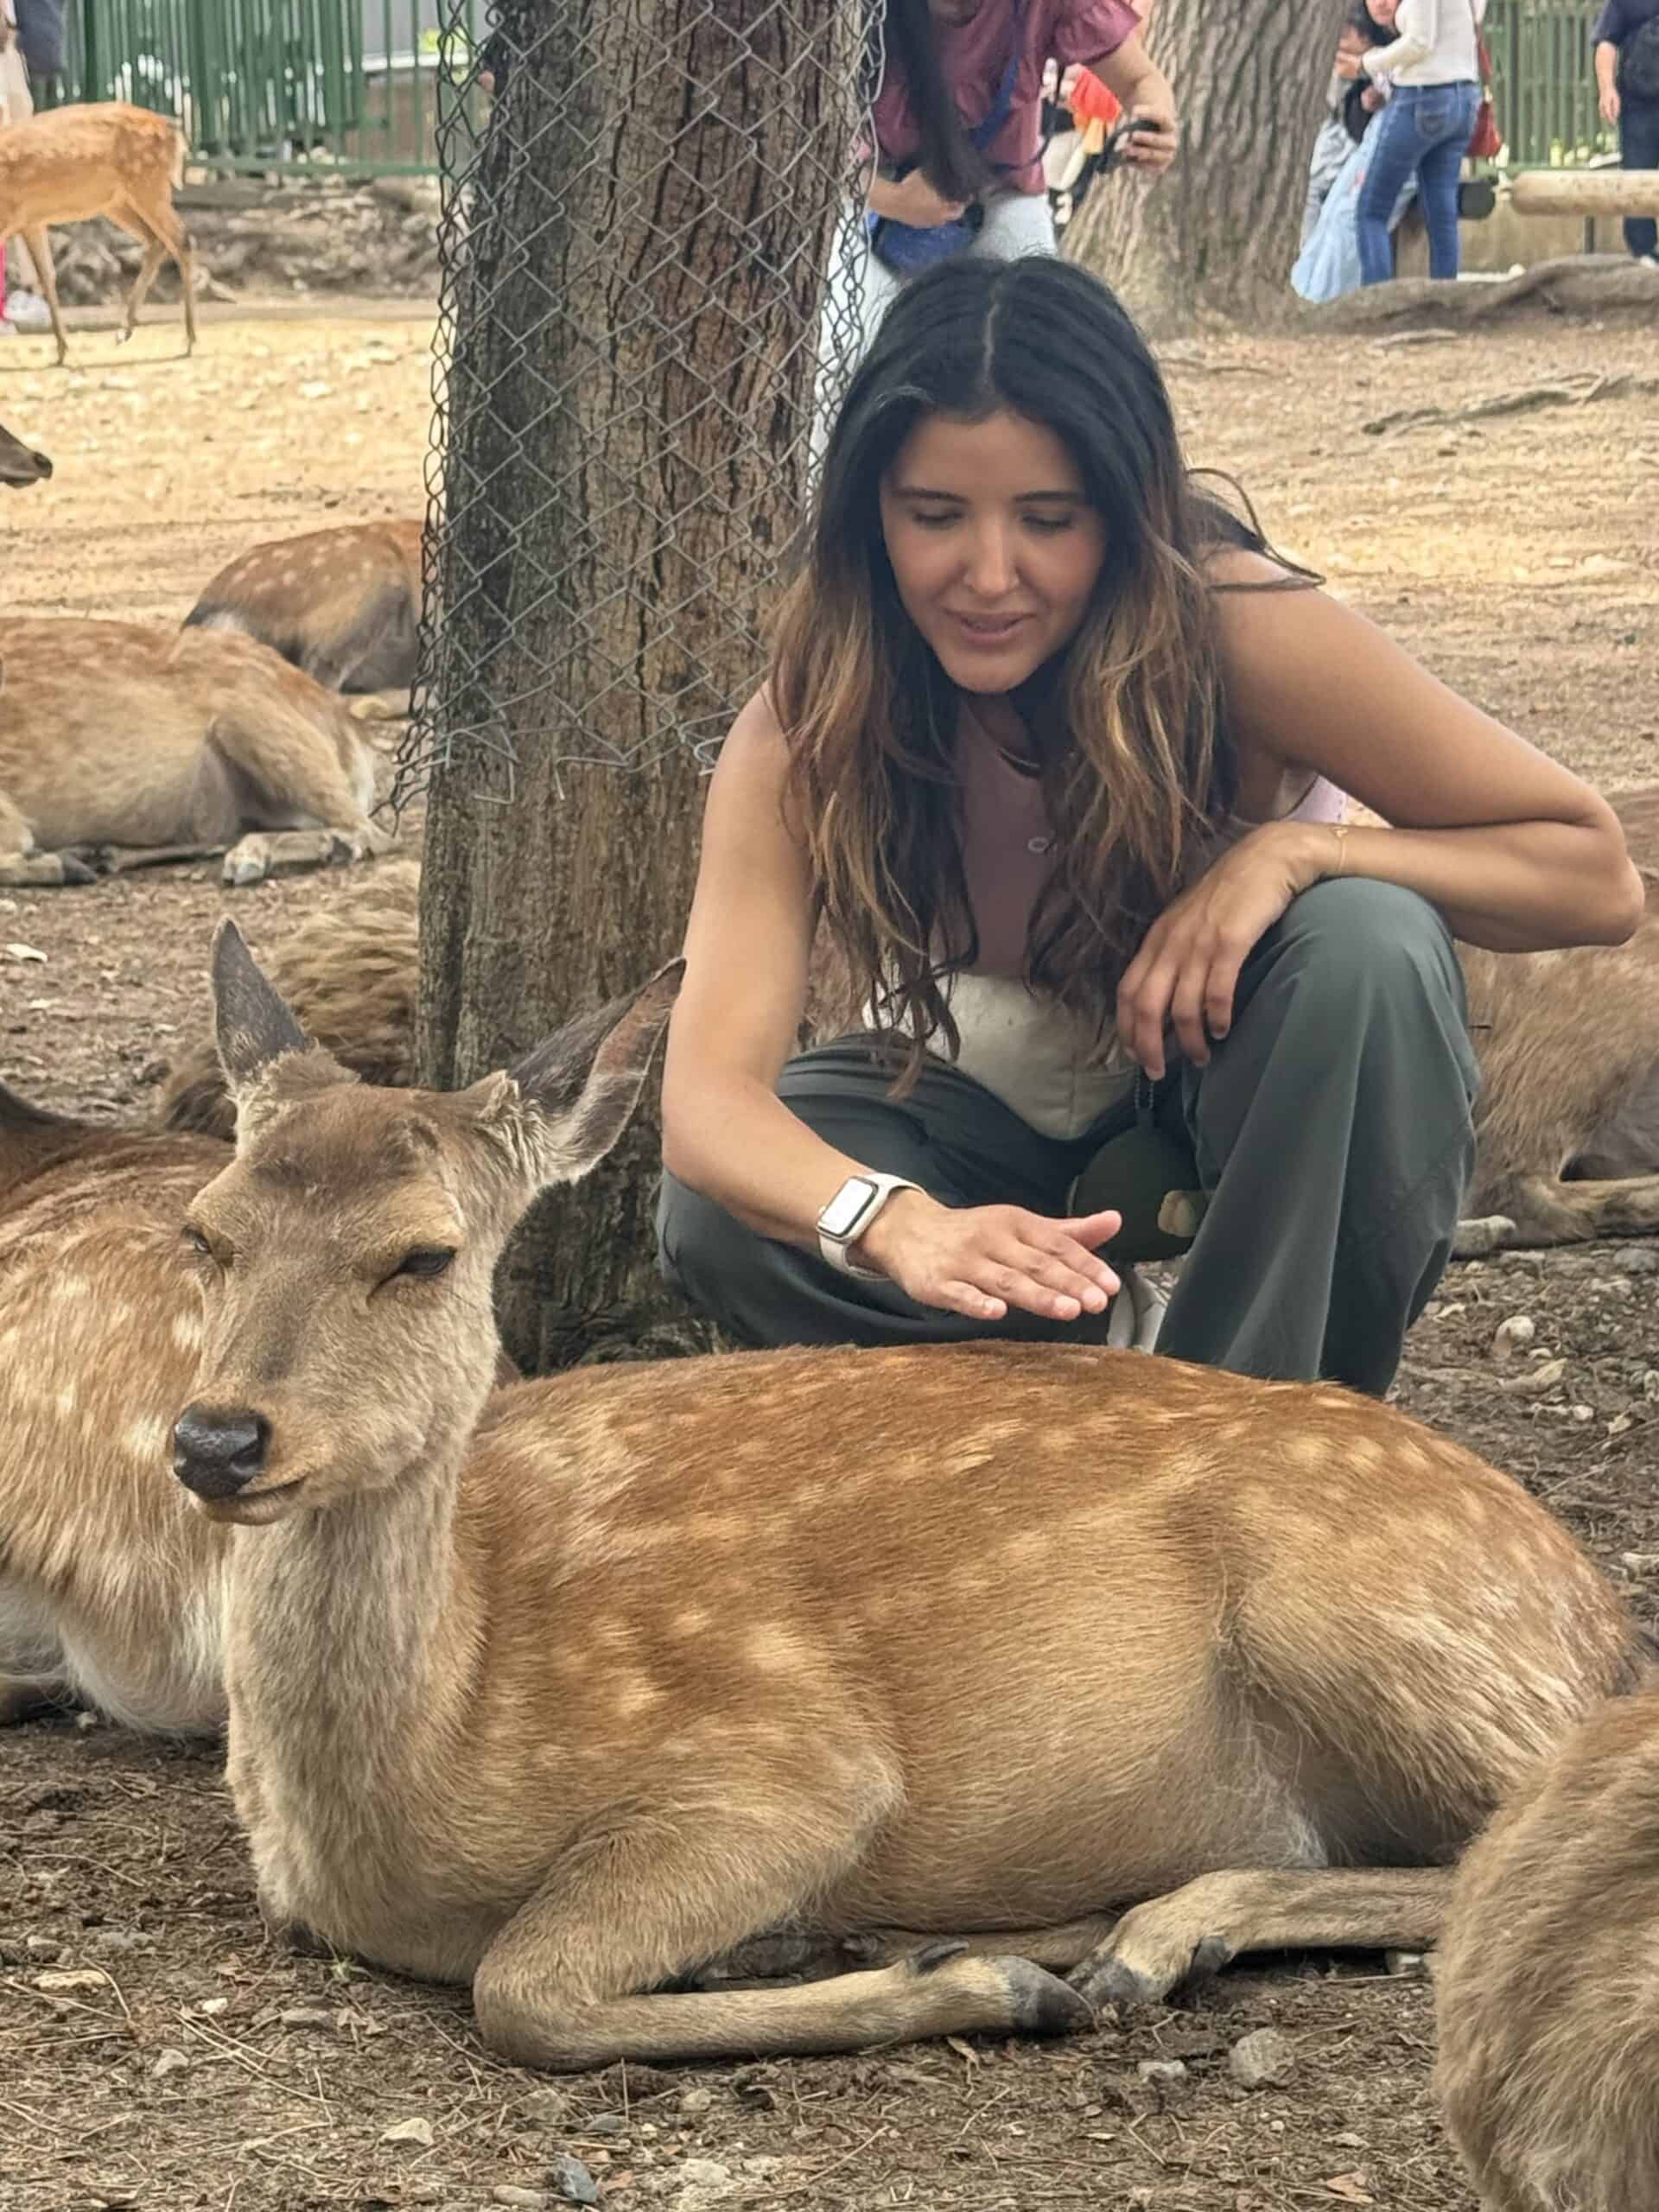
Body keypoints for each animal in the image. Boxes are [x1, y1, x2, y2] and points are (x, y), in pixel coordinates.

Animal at [0, 102, 195, 367]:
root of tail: (173, 131)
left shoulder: (12, 218)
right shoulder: (31, 221)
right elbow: (47, 274)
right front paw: (62, 348)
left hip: (147, 185)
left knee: (181, 239)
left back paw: (188, 339)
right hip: (118, 201)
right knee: (158, 240)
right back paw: (125, 330)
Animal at [142, 921, 1644, 2072]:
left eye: (425, 1255)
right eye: (205, 1231)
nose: (217, 1440)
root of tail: (1595, 1614)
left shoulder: (785, 1756)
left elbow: (527, 1990)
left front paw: (990, 1986)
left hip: (1366, 1618)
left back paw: (1133, 1943)